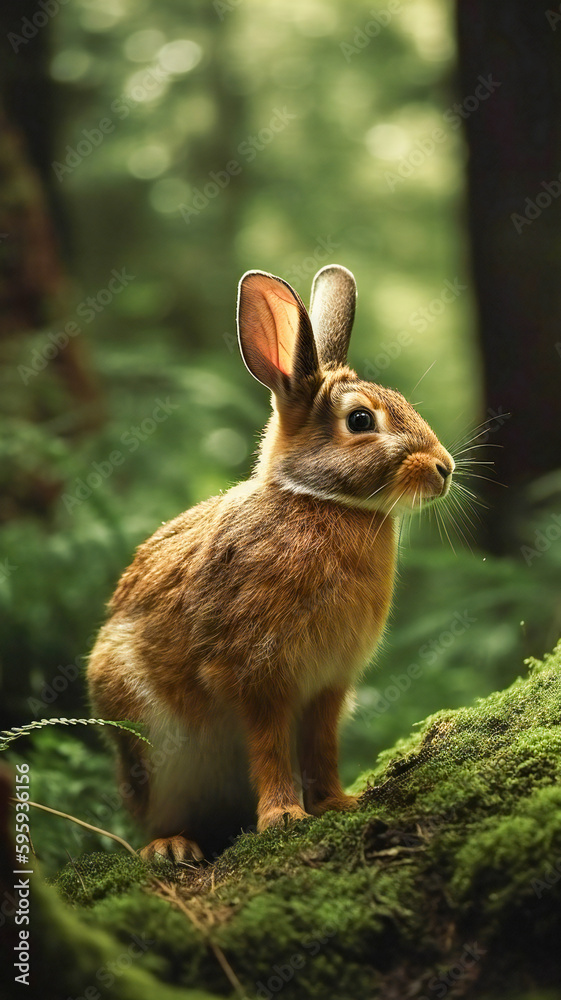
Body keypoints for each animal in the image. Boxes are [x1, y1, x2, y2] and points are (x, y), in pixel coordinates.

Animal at [87, 264, 454, 863]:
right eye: (360, 419)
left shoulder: (330, 683)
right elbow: (270, 747)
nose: (445, 469)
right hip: (152, 747)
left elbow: (322, 746)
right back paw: (171, 847)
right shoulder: (257, 675)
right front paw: (283, 817)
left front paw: (337, 803)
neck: (322, 501)